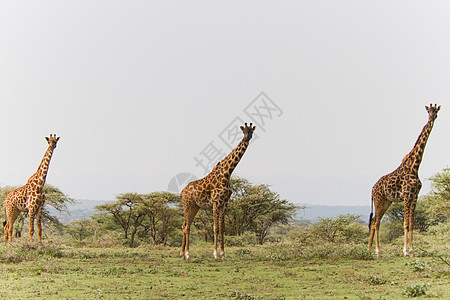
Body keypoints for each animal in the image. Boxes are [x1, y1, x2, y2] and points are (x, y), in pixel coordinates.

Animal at [180, 123, 256, 258]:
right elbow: (215, 227)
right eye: (244, 131)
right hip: (187, 205)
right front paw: (215, 254)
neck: (227, 173)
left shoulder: (224, 203)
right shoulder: (216, 202)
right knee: (187, 227)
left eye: (251, 131)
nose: (247, 138)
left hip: (195, 207)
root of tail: (182, 192)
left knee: (184, 225)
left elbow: (222, 228)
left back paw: (182, 254)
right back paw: (187, 254)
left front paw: (223, 254)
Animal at [370, 104, 440, 256]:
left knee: (373, 221)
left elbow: (412, 224)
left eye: (436, 112)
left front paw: (412, 251)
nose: (431, 119)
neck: (415, 167)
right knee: (376, 222)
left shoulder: (415, 196)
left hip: (387, 202)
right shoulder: (407, 195)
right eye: (428, 111)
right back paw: (377, 251)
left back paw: (368, 249)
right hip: (379, 200)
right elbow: (406, 224)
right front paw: (405, 251)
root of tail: (372, 189)